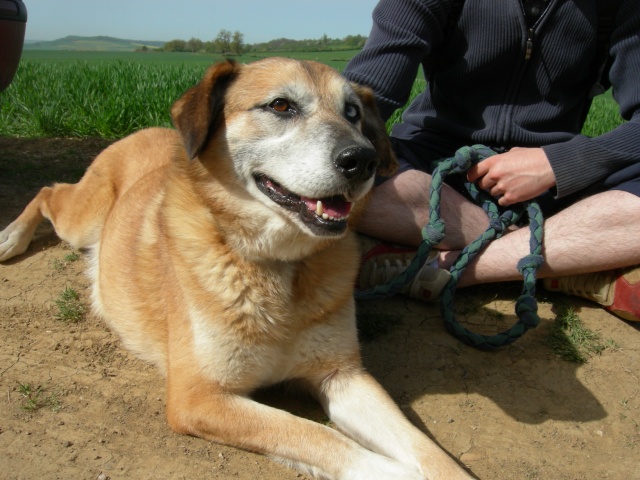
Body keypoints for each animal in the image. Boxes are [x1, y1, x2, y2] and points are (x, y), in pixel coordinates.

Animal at [0, 58, 470, 478]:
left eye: (352, 112)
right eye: (281, 106)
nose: (363, 159)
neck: (277, 269)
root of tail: (144, 131)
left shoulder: (344, 376)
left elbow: (426, 450)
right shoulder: (199, 398)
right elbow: (317, 436)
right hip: (80, 220)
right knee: (48, 191)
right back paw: (11, 237)